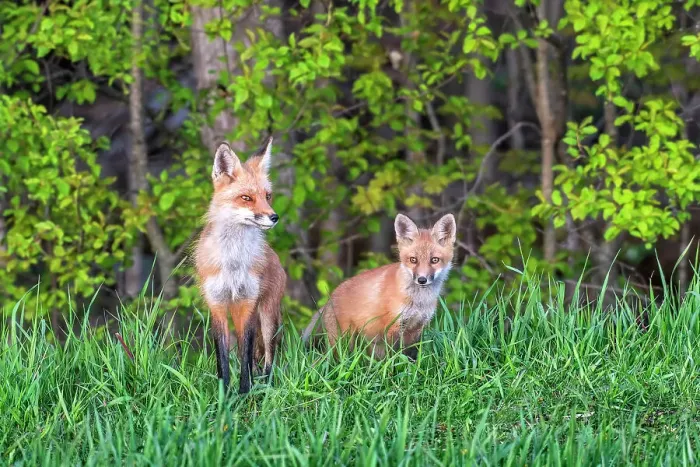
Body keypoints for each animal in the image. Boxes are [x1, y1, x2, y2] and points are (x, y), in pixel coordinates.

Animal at [195, 137, 287, 394]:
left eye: (268, 196)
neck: (233, 263)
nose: (274, 217)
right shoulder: (216, 304)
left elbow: (246, 358)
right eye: (246, 198)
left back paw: (266, 386)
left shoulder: (247, 303)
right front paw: (224, 395)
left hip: (267, 316)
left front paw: (245, 393)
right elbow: (224, 359)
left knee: (268, 358)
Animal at [302, 213, 456, 360]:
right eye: (413, 260)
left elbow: (411, 356)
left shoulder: (417, 327)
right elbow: (394, 358)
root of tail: (330, 298)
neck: (418, 301)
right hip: (343, 343)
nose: (422, 279)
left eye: (434, 260)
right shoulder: (393, 326)